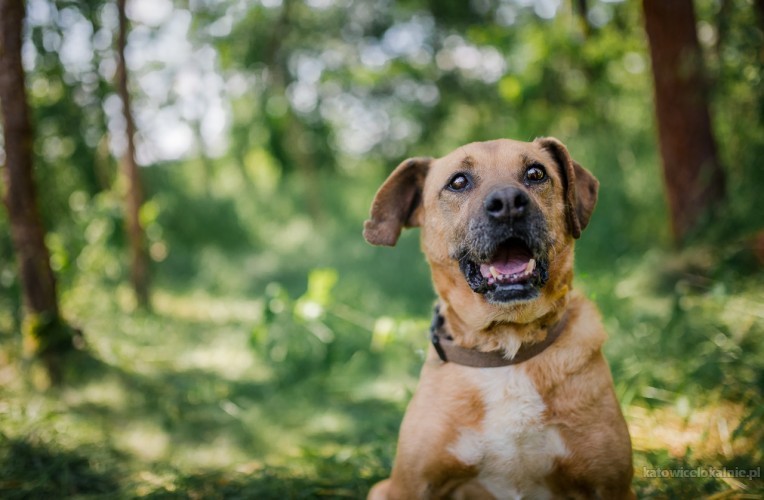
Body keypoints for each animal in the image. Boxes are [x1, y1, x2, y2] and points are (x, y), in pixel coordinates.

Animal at [364, 138, 632, 500]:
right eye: (458, 181)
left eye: (536, 173)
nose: (508, 203)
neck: (505, 346)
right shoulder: (411, 486)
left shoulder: (611, 485)